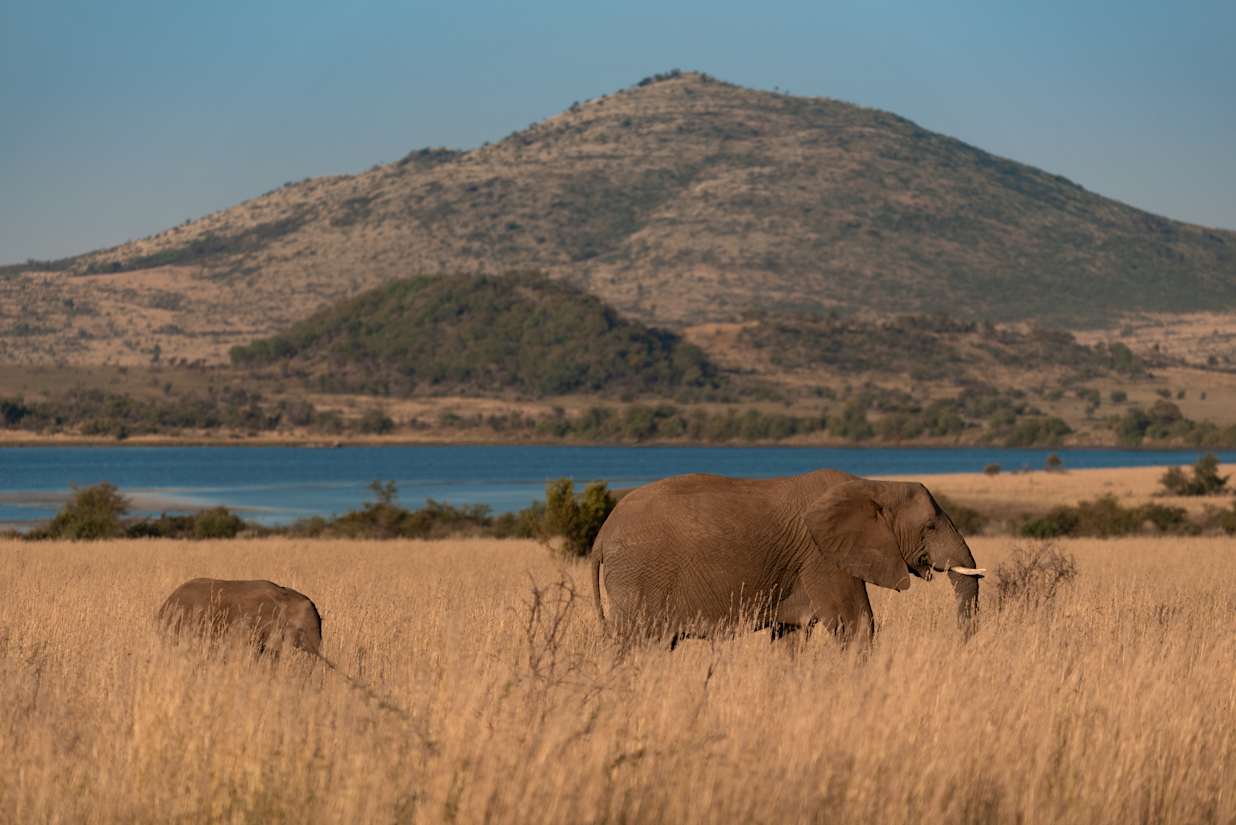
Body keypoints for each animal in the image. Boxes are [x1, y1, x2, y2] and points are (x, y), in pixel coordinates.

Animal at [589, 470, 984, 647]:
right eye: (930, 526)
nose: (960, 645)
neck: (874, 484)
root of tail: (602, 536)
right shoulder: (823, 557)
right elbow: (856, 624)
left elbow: (789, 635)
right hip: (640, 576)